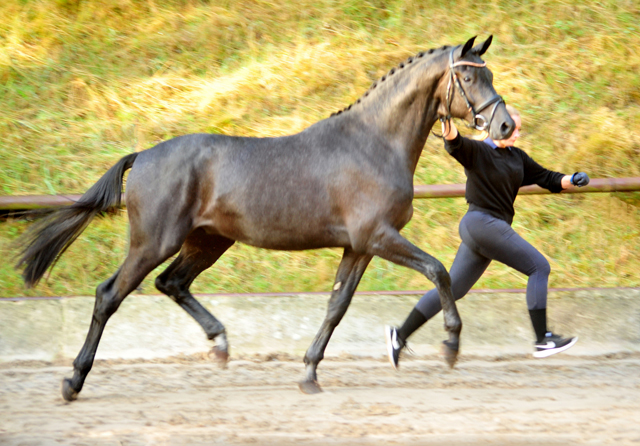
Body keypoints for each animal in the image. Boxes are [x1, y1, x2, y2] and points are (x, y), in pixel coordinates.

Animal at [16, 34, 516, 398]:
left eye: (488, 74)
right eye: (467, 78)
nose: (505, 125)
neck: (373, 143)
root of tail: (142, 157)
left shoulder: (358, 246)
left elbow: (337, 306)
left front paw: (309, 374)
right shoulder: (377, 236)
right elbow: (437, 270)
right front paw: (451, 345)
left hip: (208, 240)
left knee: (172, 283)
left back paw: (220, 345)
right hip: (153, 241)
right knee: (109, 295)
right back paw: (73, 381)